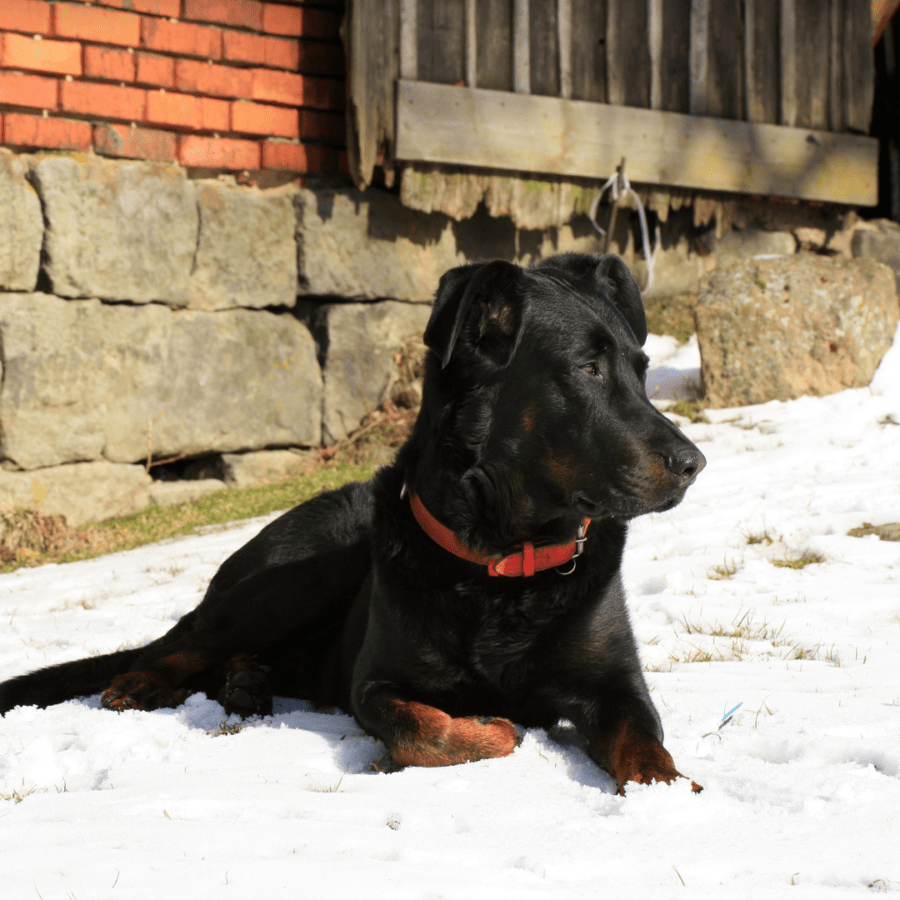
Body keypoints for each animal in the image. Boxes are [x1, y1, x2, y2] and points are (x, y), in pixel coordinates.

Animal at [0, 253, 704, 796]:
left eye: (642, 370)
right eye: (587, 369)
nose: (694, 464)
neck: (506, 559)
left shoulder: (616, 685)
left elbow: (644, 740)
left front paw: (670, 789)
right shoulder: (376, 682)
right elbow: (425, 730)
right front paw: (491, 729)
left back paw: (246, 683)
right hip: (296, 580)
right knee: (186, 640)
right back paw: (145, 681)